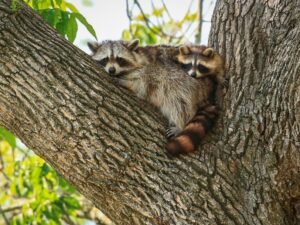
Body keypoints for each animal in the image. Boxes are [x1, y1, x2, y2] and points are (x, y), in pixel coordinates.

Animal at [88, 39, 219, 156]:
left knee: (177, 95)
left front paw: (129, 83)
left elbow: (145, 80)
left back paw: (180, 122)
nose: (112, 70)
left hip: (191, 84)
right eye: (105, 59)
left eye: (120, 59)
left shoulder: (150, 66)